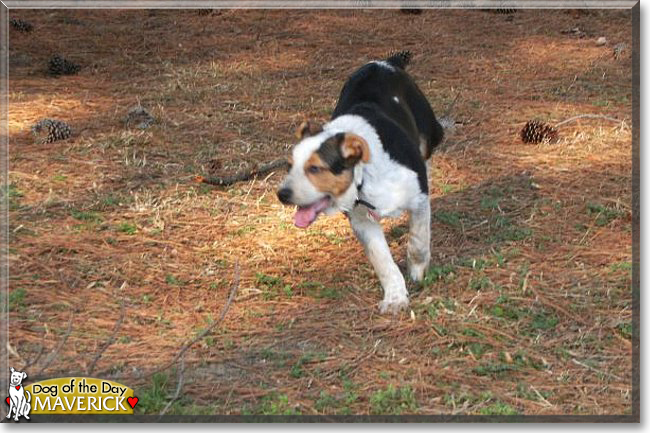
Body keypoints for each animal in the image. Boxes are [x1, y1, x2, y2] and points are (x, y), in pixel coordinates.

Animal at [276, 51, 442, 314]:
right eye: (289, 166)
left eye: (315, 168)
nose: (282, 194)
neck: (364, 176)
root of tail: (386, 62)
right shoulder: (361, 221)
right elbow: (383, 260)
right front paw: (395, 298)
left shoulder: (418, 198)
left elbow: (418, 239)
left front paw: (417, 273)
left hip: (431, 133)